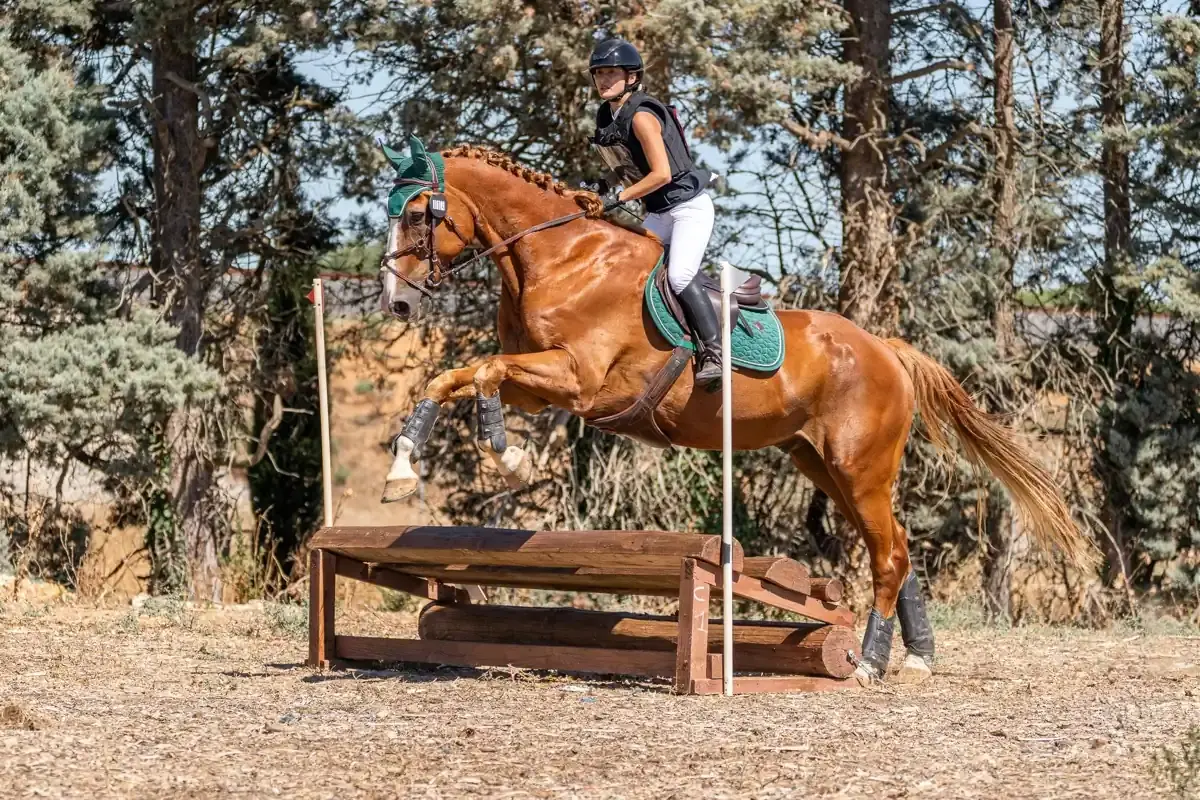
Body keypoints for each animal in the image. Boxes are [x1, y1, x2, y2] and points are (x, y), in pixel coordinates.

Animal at [375, 140, 1093, 685]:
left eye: (417, 214)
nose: (397, 304)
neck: (557, 259)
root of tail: (884, 347)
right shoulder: (541, 382)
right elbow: (454, 377)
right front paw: (404, 467)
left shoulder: (579, 381)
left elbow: (485, 374)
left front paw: (506, 452)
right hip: (823, 464)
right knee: (895, 546)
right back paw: (914, 657)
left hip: (859, 466)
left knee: (889, 553)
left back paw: (869, 663)